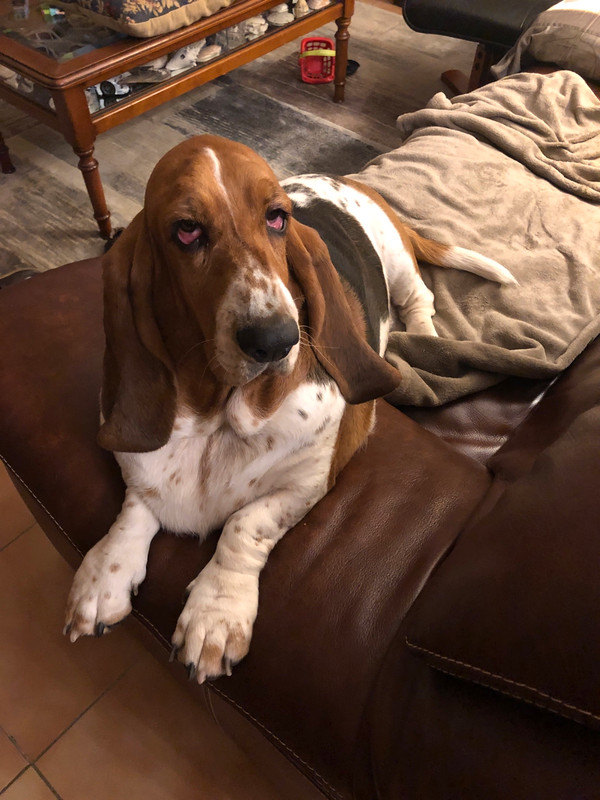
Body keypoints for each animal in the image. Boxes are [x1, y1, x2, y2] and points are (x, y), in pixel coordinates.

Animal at [64, 135, 515, 683]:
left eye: (276, 218)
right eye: (186, 231)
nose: (276, 340)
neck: (220, 417)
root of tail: (351, 181)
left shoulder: (307, 485)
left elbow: (244, 527)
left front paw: (216, 615)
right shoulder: (143, 474)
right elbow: (133, 512)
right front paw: (102, 579)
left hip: (397, 260)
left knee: (420, 300)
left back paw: (424, 343)